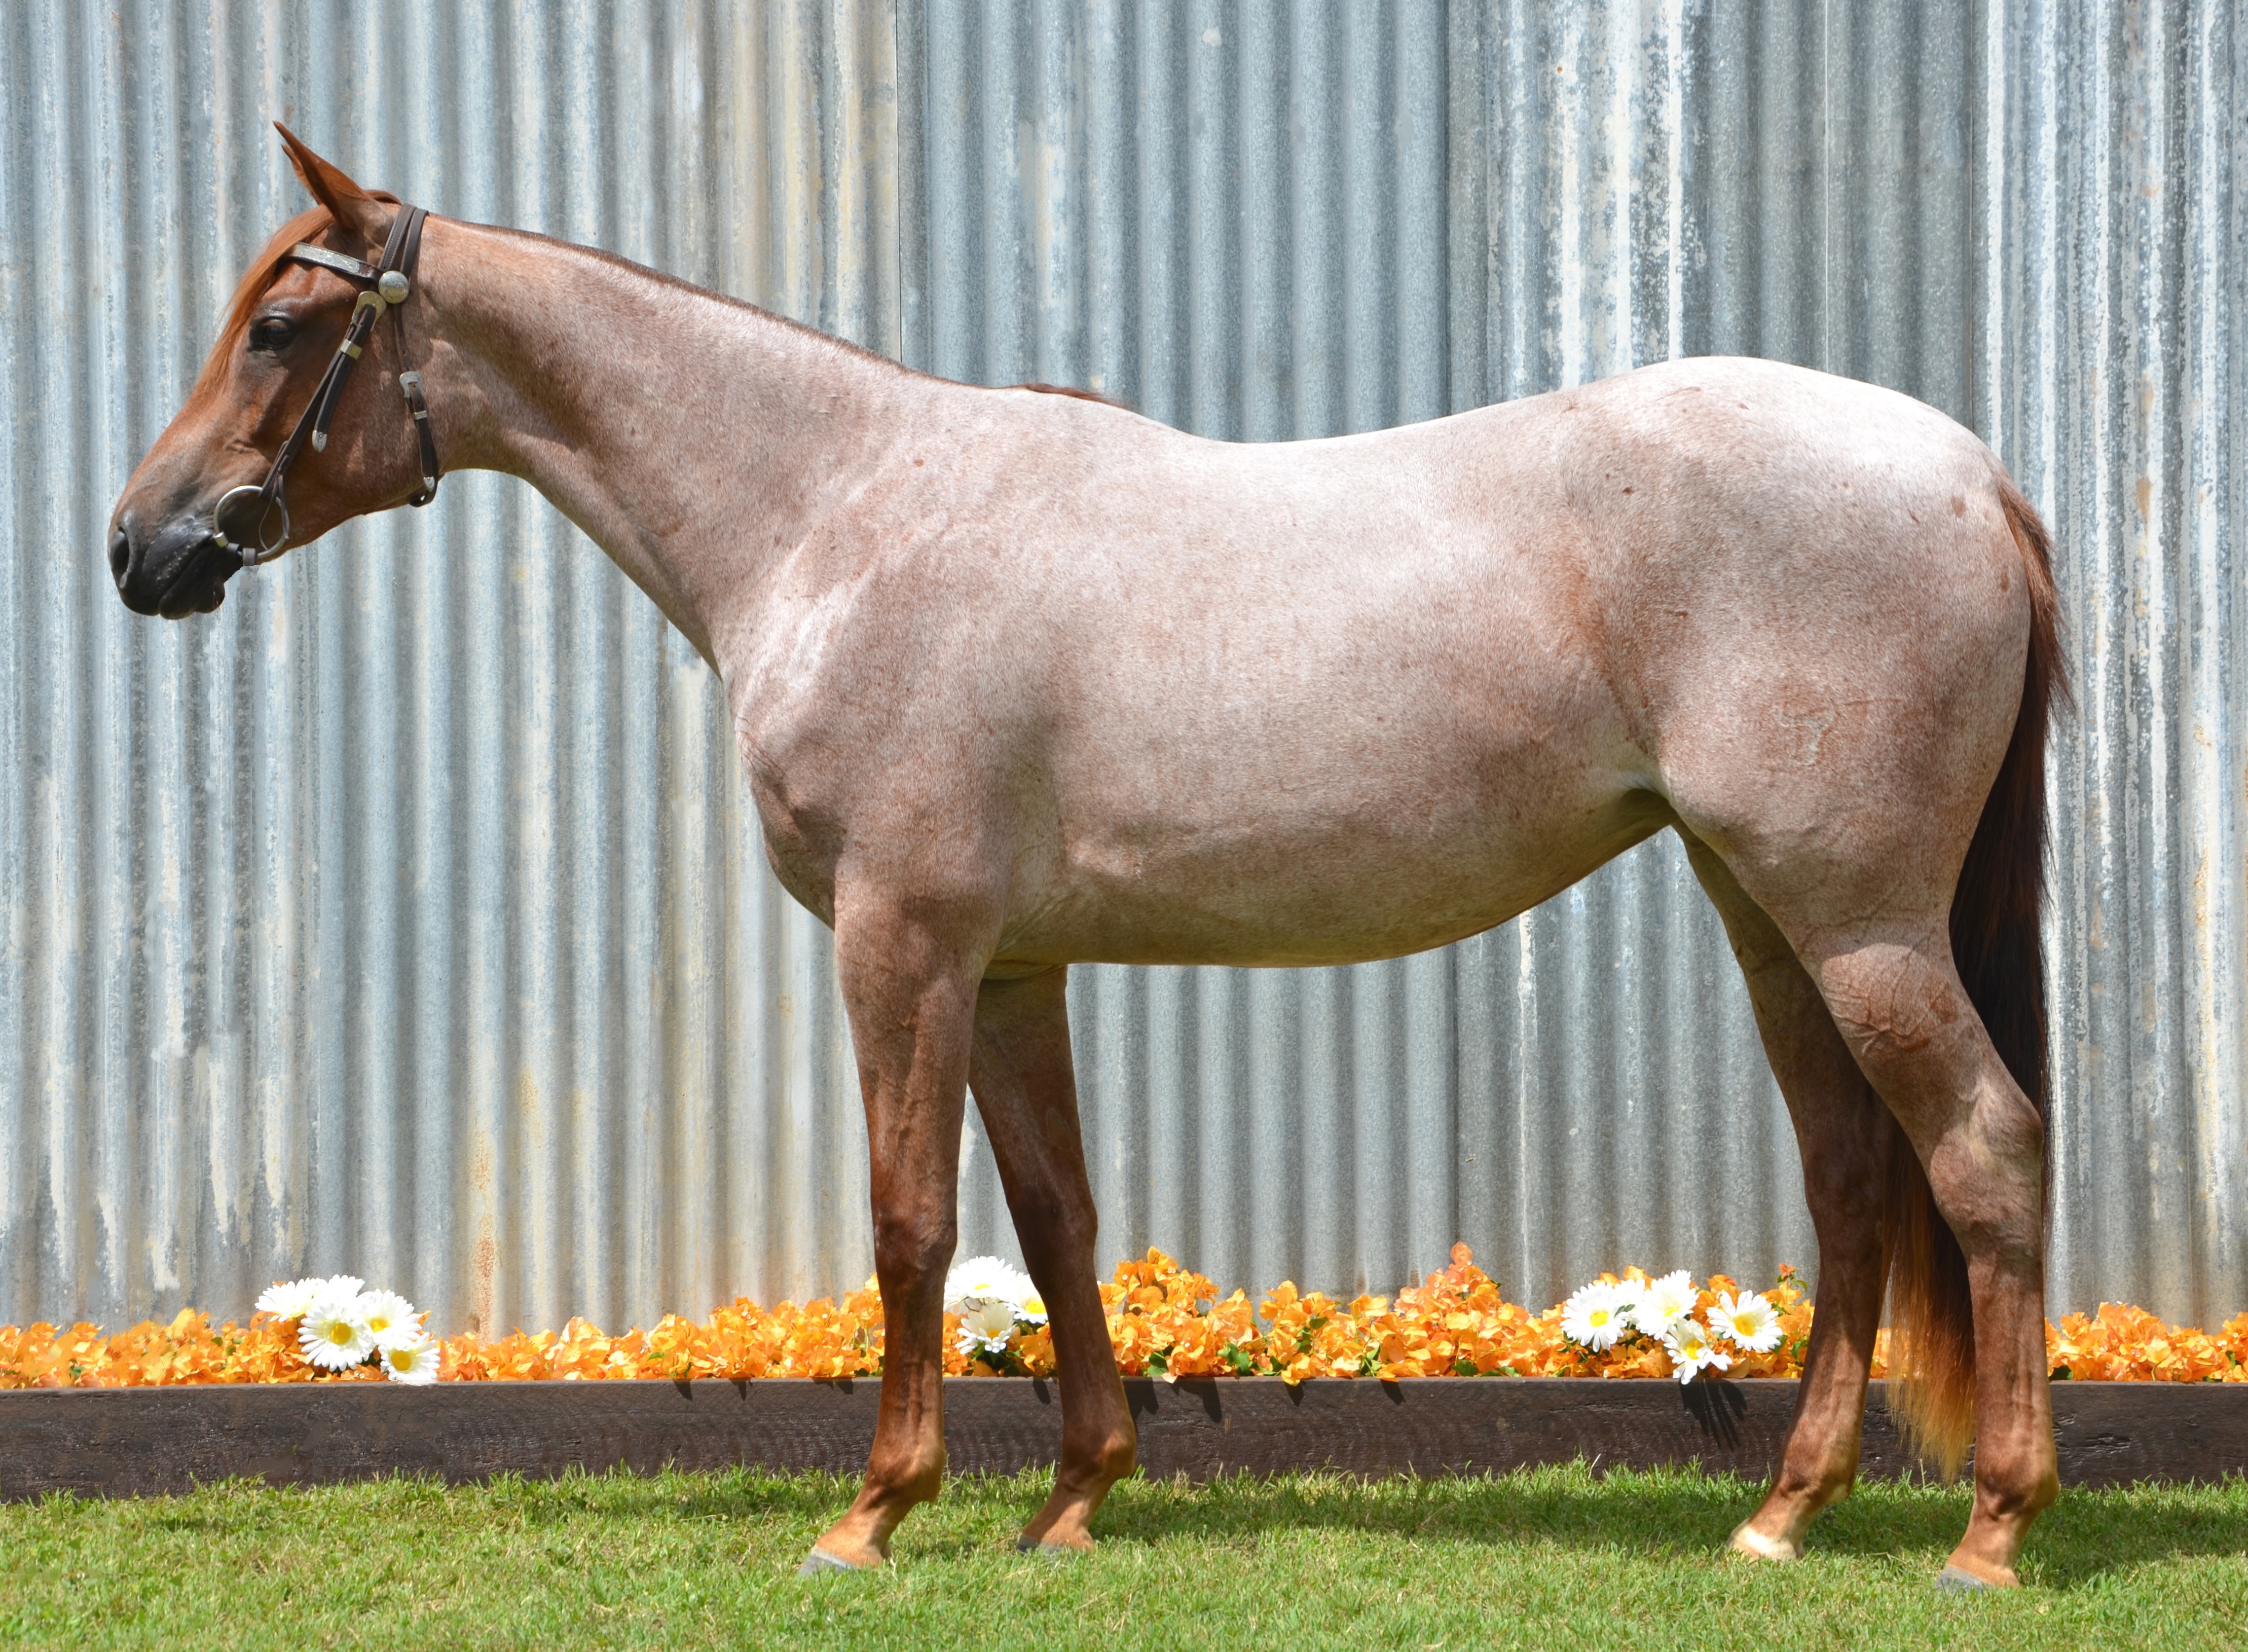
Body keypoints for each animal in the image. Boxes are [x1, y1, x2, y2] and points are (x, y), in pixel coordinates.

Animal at [110, 127, 2065, 1588]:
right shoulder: (1011, 964)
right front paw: (1069, 1503)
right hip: (1769, 911)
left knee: (1979, 1152)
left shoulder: (900, 938)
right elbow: (1053, 1219)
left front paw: (870, 1514)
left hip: (1857, 920)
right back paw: (1780, 1516)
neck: (838, 513)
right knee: (1848, 1178)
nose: (143, 544)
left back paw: (1987, 1531)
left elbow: (909, 1221)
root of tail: (1969, 474)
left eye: (278, 332)